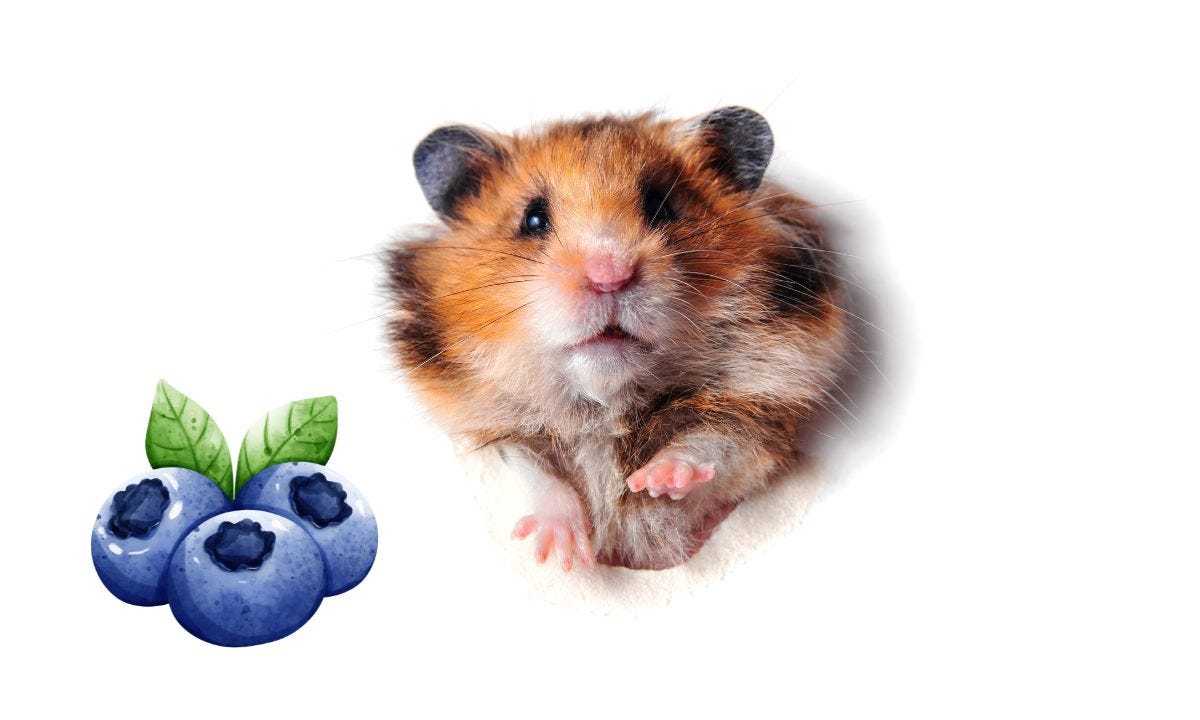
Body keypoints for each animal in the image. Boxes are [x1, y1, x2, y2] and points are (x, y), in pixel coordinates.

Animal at [385, 107, 850, 571]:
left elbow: (713, 447)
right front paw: (564, 555)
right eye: (533, 219)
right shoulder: (491, 436)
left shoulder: (755, 420)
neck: (606, 410)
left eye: (662, 205)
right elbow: (533, 474)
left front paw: (656, 481)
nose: (609, 276)